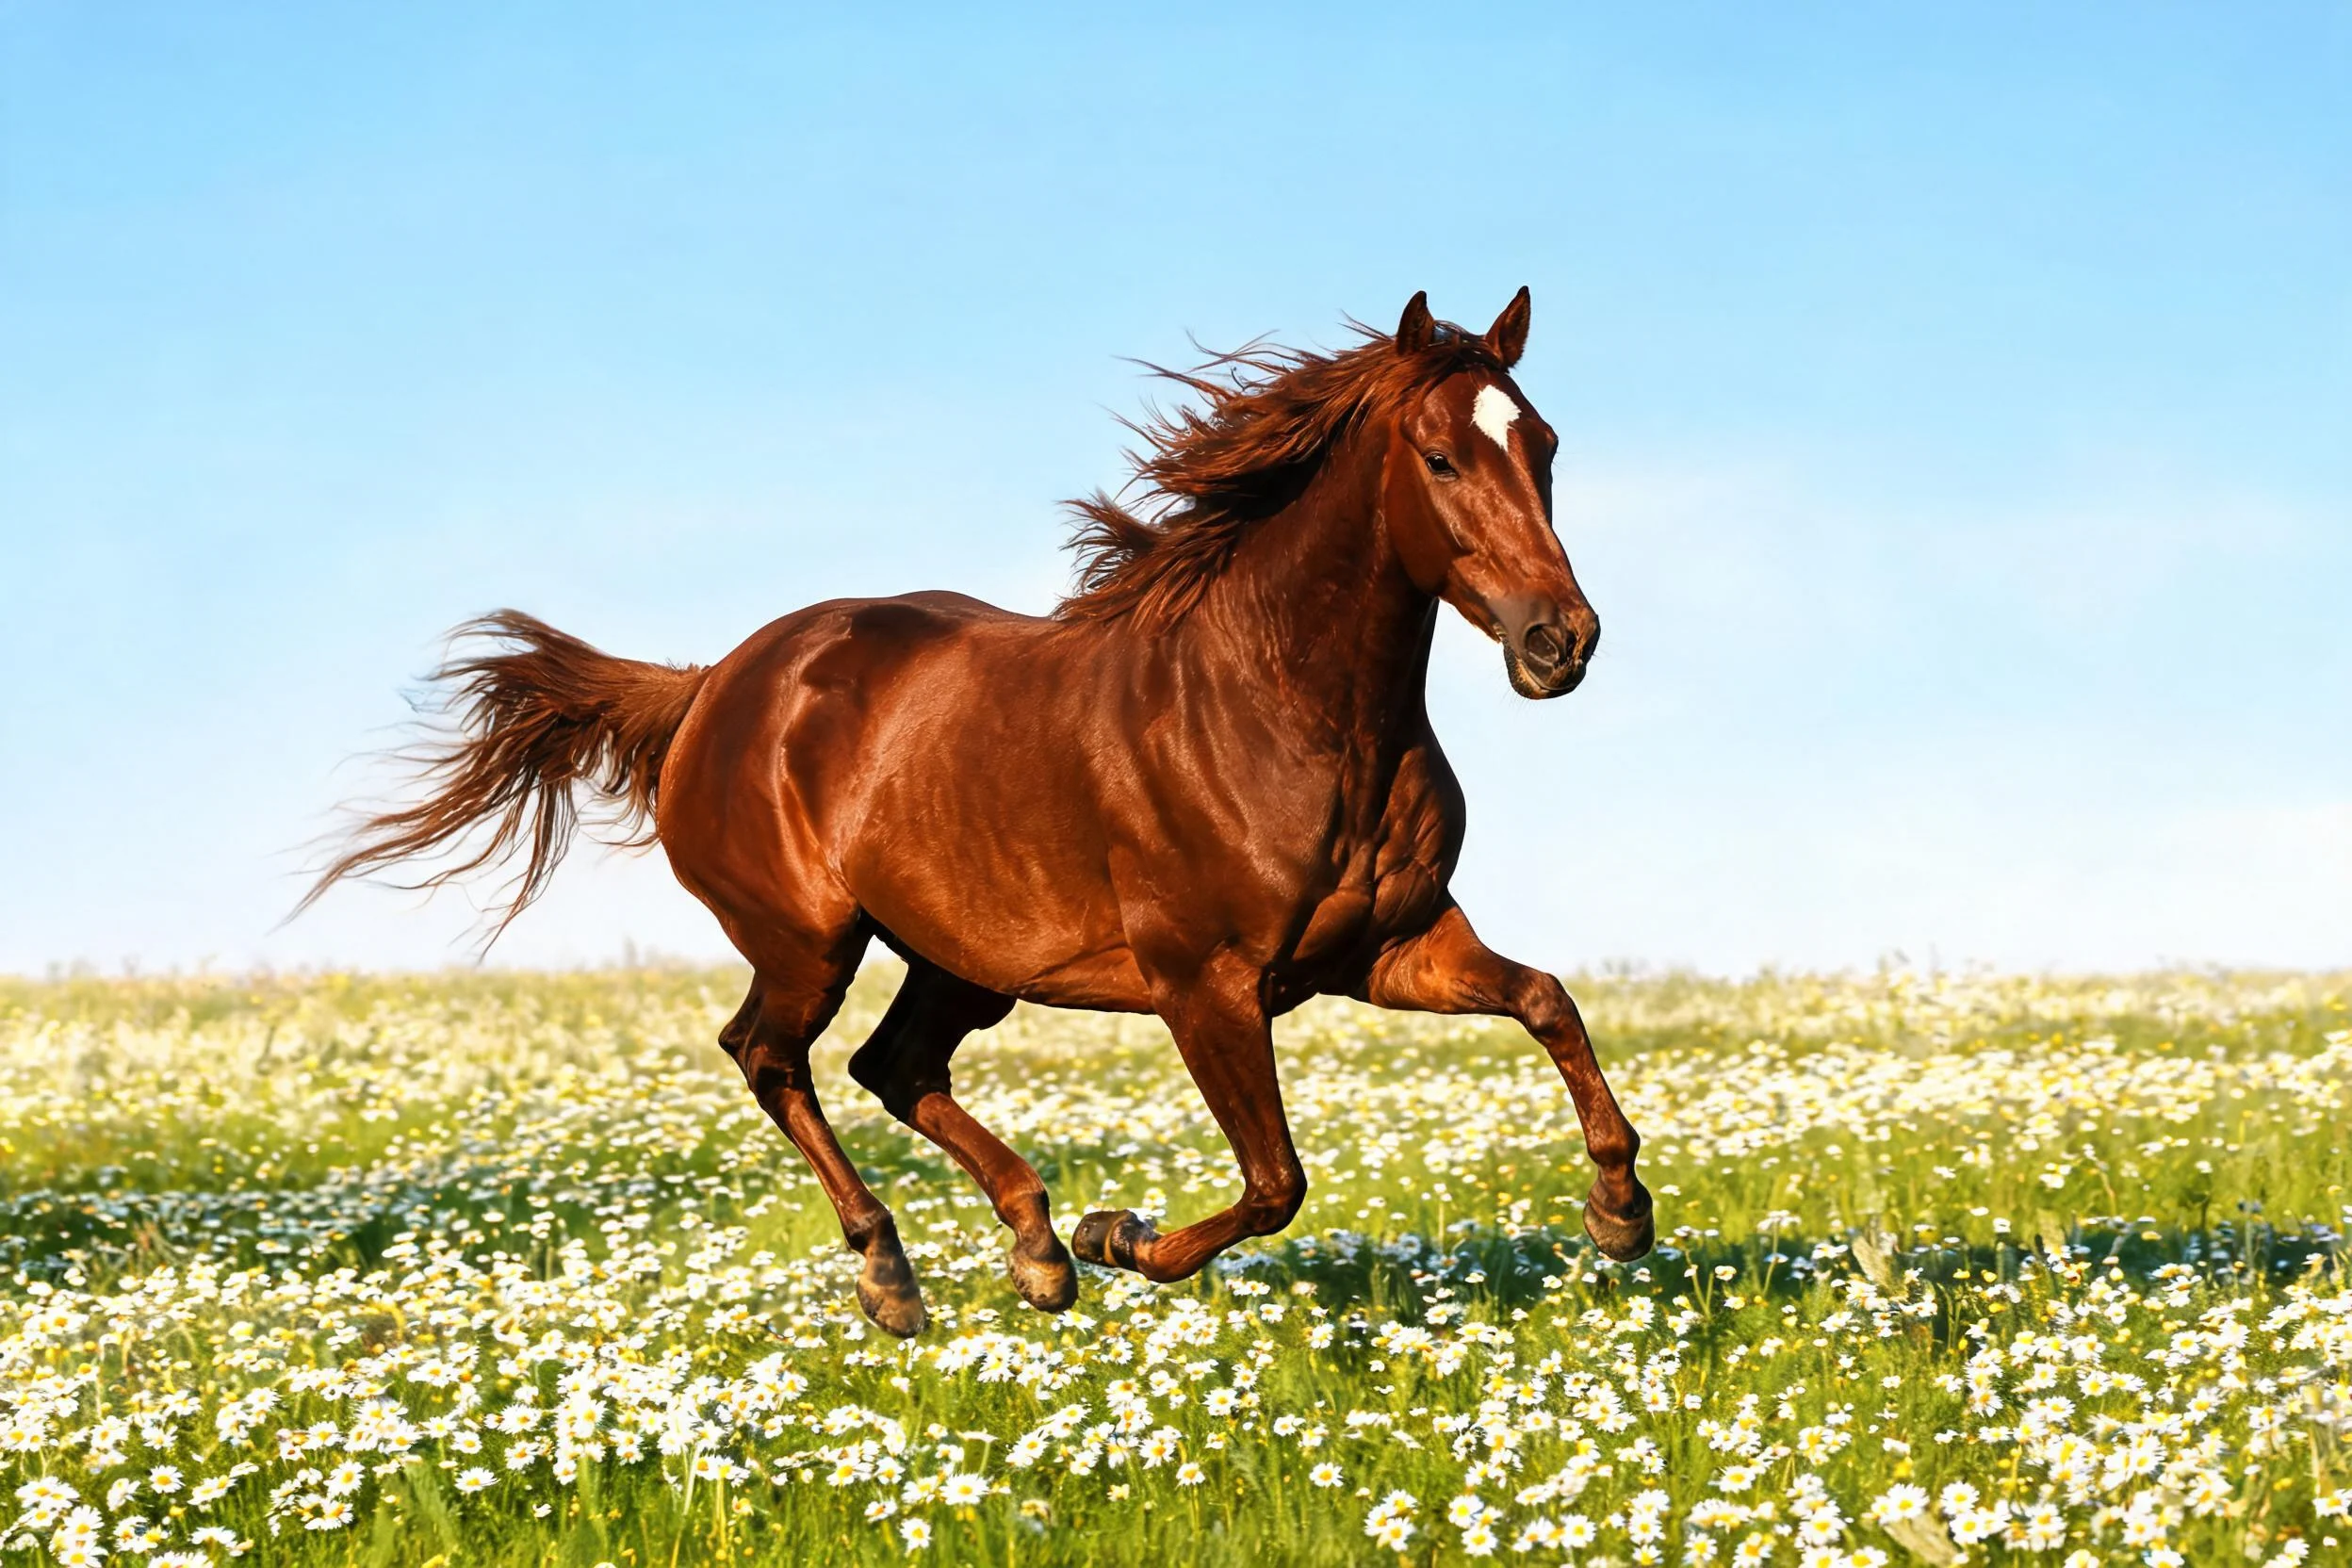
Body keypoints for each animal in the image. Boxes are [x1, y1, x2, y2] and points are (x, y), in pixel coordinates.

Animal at [305, 289, 1653, 1336]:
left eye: (1542, 443)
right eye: (1439, 455)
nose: (1562, 640)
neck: (1288, 709)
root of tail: (711, 687)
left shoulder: (1393, 944)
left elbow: (1548, 1001)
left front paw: (1621, 1209)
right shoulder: (1205, 983)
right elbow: (1276, 1181)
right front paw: (1124, 1236)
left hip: (963, 957)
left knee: (891, 1065)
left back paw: (1033, 1249)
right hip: (810, 939)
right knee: (773, 1055)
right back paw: (901, 1274)